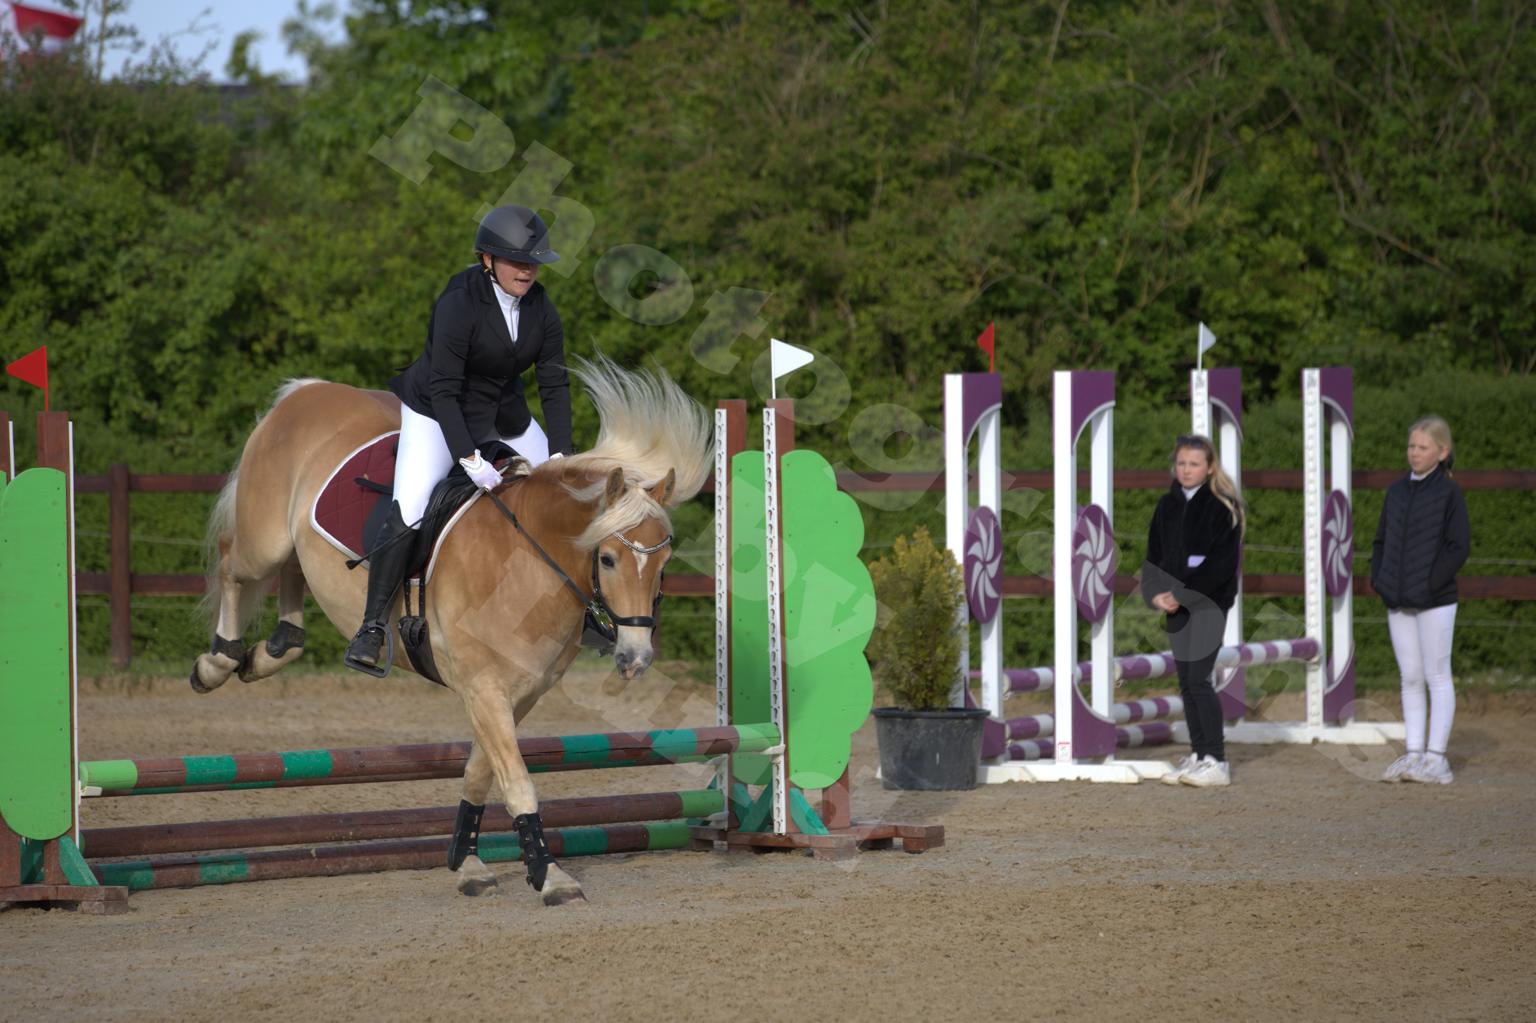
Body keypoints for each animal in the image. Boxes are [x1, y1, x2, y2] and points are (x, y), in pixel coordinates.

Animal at [188, 358, 713, 905]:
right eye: (607, 559)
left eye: (664, 564)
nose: (636, 659)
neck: (524, 565)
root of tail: (307, 392)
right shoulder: (484, 689)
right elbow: (517, 780)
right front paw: (549, 875)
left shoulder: (519, 694)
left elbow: (481, 772)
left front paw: (468, 862)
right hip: (263, 540)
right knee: (233, 564)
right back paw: (217, 663)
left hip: (293, 547)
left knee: (291, 578)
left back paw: (269, 652)